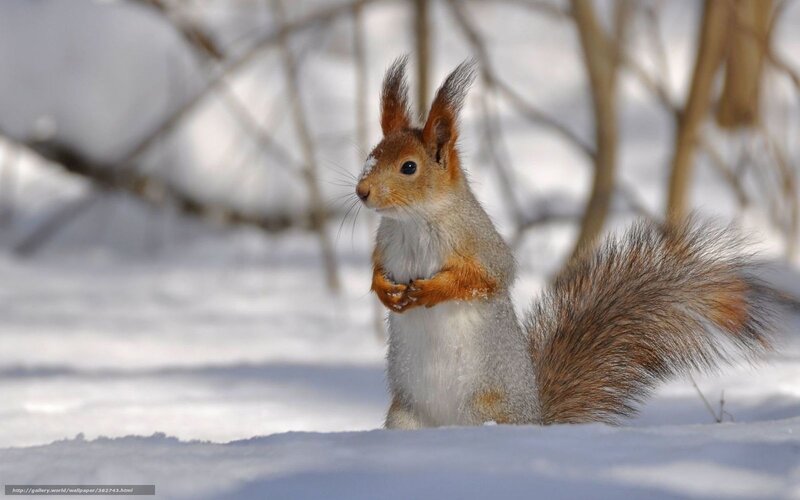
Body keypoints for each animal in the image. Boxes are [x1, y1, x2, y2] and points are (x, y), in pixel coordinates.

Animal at [355, 56, 772, 429]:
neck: (412, 221)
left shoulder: (480, 243)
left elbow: (486, 278)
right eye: (370, 156)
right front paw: (384, 290)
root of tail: (537, 420)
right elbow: (377, 269)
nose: (362, 191)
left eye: (409, 167)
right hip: (405, 417)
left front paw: (429, 291)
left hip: (484, 409)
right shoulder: (385, 243)